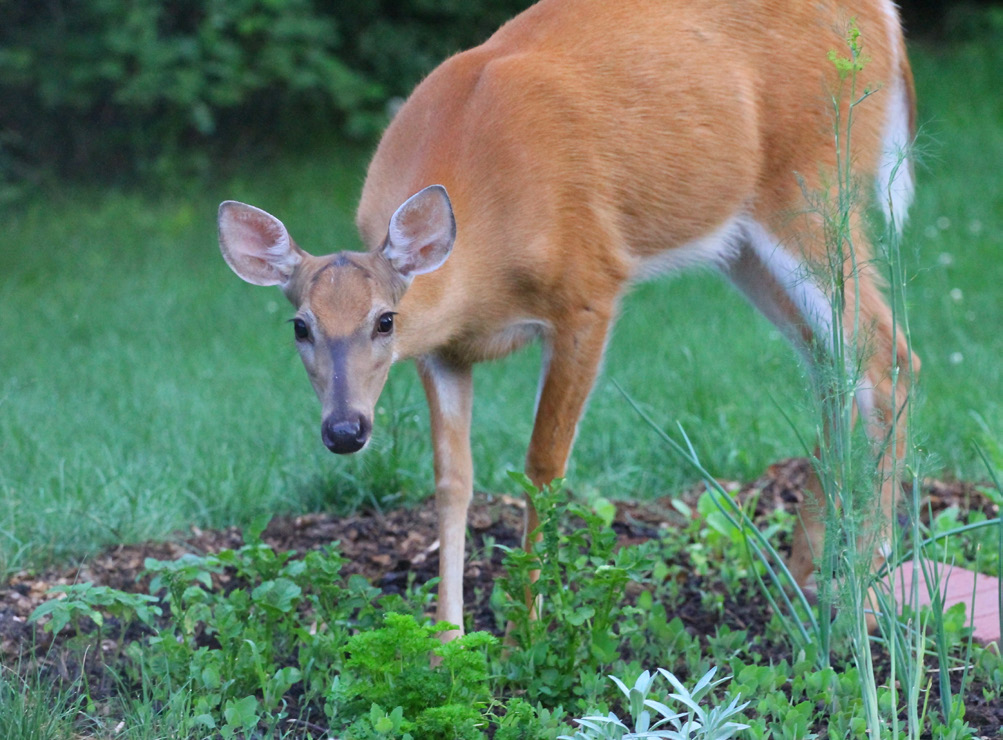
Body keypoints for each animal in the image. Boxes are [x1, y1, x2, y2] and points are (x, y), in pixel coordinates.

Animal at [217, 0, 918, 637]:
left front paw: (526, 633)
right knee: (832, 364)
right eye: (300, 327)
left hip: (812, 183)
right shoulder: (442, 351)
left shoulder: (589, 291)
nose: (344, 430)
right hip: (743, 244)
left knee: (888, 353)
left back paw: (867, 596)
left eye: (385, 321)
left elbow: (543, 466)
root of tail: (885, 18)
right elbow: (452, 481)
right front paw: (447, 643)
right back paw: (804, 580)